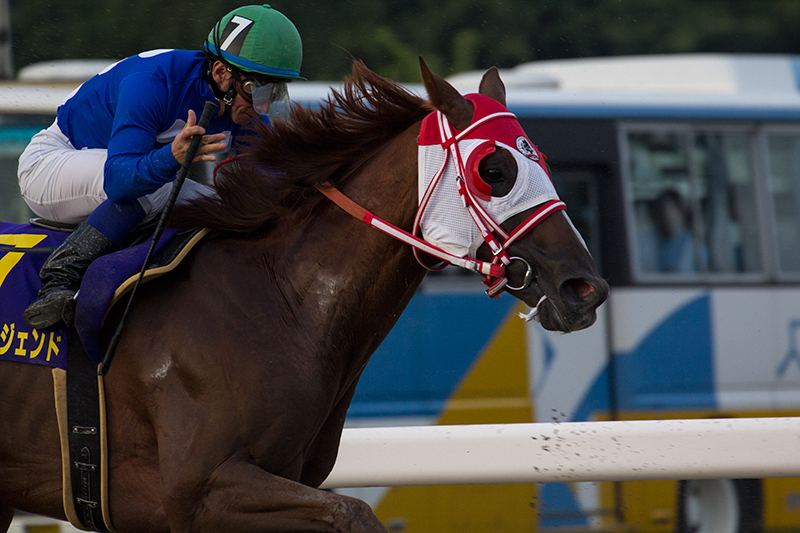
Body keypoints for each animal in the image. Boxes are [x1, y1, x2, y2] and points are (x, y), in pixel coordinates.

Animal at [0, 60, 608, 528]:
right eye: (495, 170)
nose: (586, 288)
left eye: (543, 161)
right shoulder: (198, 490)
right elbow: (355, 514)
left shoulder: (285, 479)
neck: (279, 300)